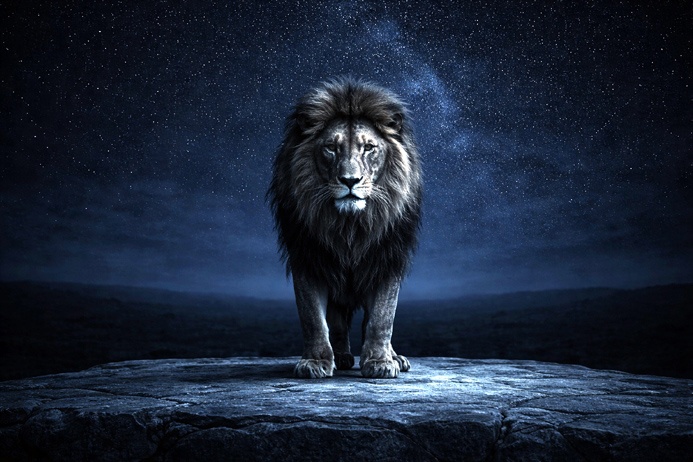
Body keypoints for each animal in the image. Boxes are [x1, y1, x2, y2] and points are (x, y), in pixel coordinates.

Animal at [268, 78, 422, 378]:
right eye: (331, 147)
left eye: (369, 148)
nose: (350, 180)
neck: (350, 226)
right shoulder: (308, 259)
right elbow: (313, 319)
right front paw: (314, 362)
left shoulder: (386, 260)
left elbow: (381, 319)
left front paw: (380, 362)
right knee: (337, 322)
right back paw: (340, 356)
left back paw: (394, 357)